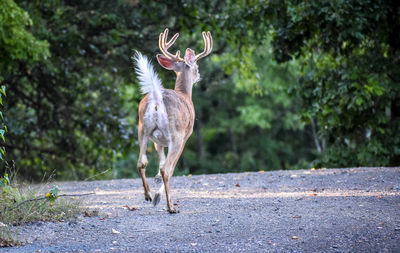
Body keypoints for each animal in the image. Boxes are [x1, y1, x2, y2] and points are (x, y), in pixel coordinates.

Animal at [133, 28, 212, 213]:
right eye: (197, 67)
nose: (199, 75)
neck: (185, 94)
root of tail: (156, 99)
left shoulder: (158, 141)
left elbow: (159, 161)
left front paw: (155, 191)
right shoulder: (184, 137)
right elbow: (171, 167)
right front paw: (159, 196)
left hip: (142, 129)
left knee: (141, 162)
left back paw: (148, 195)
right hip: (175, 134)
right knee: (166, 169)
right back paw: (170, 206)